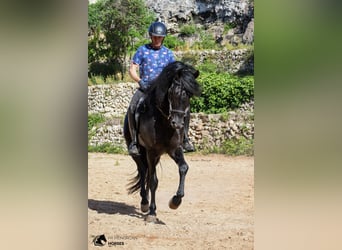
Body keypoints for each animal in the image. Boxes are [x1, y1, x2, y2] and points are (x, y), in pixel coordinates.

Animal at [124, 61, 202, 222]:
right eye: (171, 93)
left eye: (189, 95)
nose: (177, 123)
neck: (163, 122)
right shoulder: (151, 151)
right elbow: (153, 181)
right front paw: (152, 212)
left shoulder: (174, 149)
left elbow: (183, 168)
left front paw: (175, 201)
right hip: (139, 153)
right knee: (143, 172)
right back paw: (145, 203)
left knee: (147, 173)